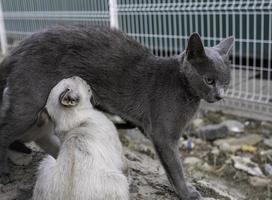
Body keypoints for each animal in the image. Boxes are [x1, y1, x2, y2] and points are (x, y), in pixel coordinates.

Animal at [0, 25, 234, 200]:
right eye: (209, 80)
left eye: (226, 82)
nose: (220, 95)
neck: (183, 87)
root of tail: (17, 49)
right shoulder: (163, 135)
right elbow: (175, 167)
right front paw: (186, 193)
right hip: (28, 105)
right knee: (5, 129)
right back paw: (4, 173)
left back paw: (20, 149)